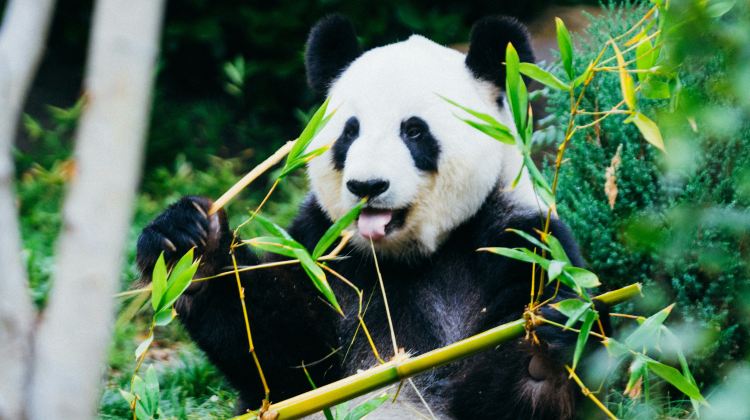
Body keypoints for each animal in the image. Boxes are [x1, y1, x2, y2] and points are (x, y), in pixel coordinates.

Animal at [136, 15, 608, 419]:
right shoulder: (323, 250)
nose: (368, 186)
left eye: (414, 131)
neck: (407, 257)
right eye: (349, 132)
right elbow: (284, 358)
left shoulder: (517, 241)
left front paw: (540, 358)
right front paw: (192, 247)